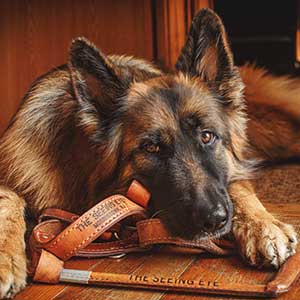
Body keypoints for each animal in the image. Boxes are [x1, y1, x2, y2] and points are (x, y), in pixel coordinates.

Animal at [0, 8, 298, 298]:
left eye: (207, 136)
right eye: (151, 148)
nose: (213, 219)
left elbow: (239, 189)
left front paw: (263, 227)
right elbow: (9, 199)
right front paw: (5, 261)